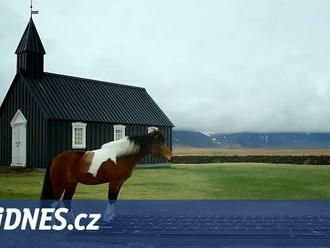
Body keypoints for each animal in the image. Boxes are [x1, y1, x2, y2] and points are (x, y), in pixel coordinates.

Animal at [40, 131, 171, 220]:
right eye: (160, 143)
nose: (170, 157)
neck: (121, 157)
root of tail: (56, 158)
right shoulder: (114, 182)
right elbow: (111, 197)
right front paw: (108, 217)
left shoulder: (119, 182)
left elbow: (114, 199)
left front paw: (112, 216)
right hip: (59, 184)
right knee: (53, 202)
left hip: (72, 183)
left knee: (67, 200)